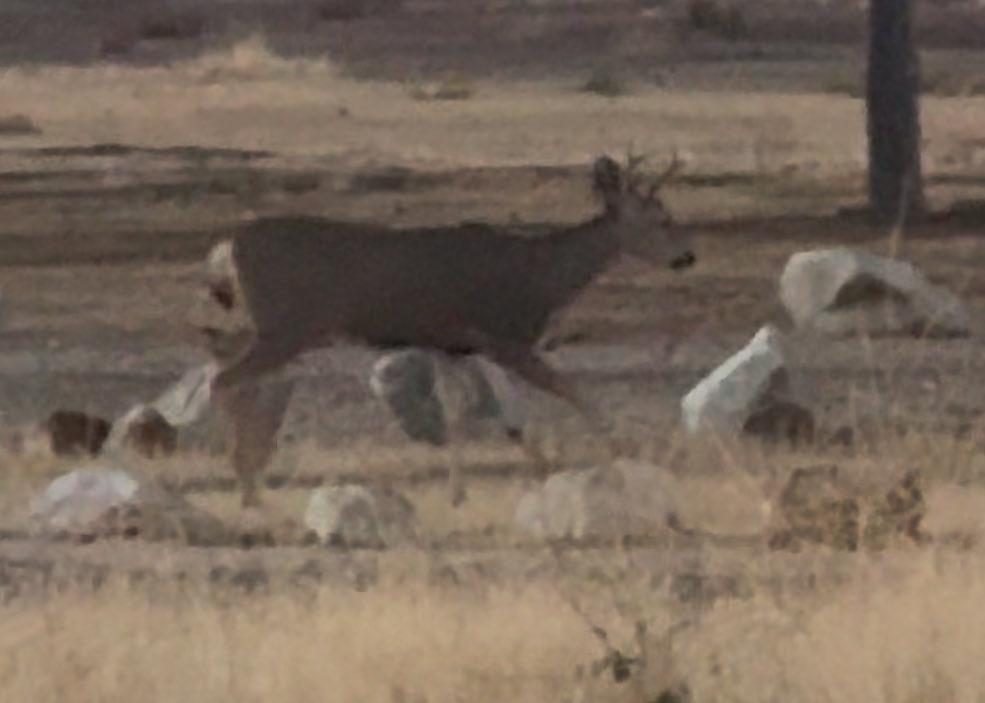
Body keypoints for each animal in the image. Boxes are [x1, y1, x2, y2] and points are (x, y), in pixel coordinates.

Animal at [198, 153, 695, 508]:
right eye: (662, 219)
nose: (687, 257)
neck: (540, 277)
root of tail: (227, 245)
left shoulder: (454, 345)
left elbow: (465, 413)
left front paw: (468, 488)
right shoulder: (505, 336)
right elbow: (571, 391)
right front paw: (623, 448)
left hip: (267, 327)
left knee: (232, 374)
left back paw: (248, 476)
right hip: (286, 325)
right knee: (225, 380)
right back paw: (244, 483)